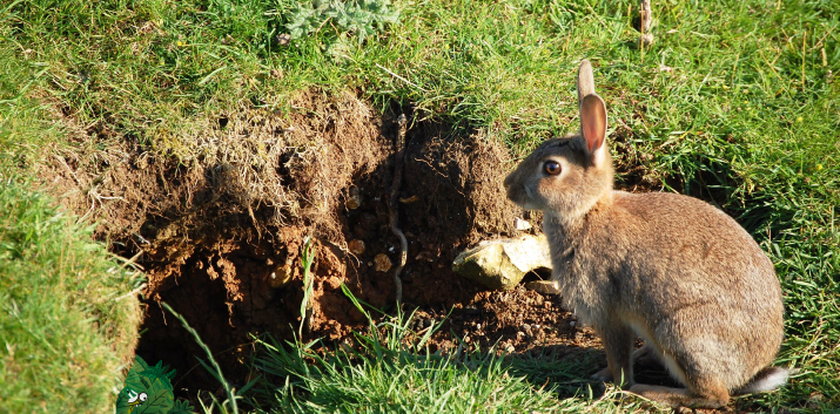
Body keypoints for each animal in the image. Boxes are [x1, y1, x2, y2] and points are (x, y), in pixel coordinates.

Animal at [506, 59, 788, 410]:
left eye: (552, 168)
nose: (508, 186)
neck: (587, 211)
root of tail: (751, 370)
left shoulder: (607, 311)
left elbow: (617, 359)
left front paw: (612, 382)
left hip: (682, 332)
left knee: (715, 395)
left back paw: (646, 390)